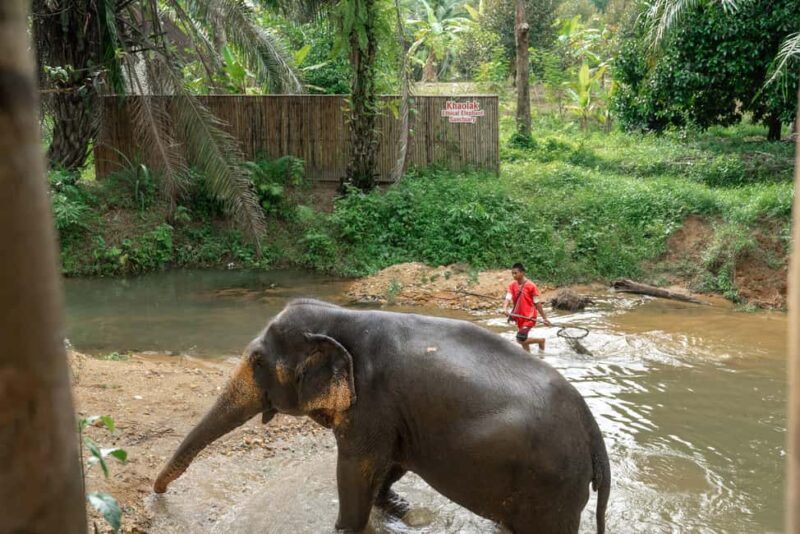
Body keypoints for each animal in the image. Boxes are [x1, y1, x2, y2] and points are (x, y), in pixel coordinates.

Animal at [154, 299, 610, 533]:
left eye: (258, 361)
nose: (157, 496)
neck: (343, 316)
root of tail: (592, 431)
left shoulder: (373, 402)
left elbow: (354, 468)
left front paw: (344, 528)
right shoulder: (395, 414)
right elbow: (391, 461)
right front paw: (398, 507)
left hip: (552, 488)